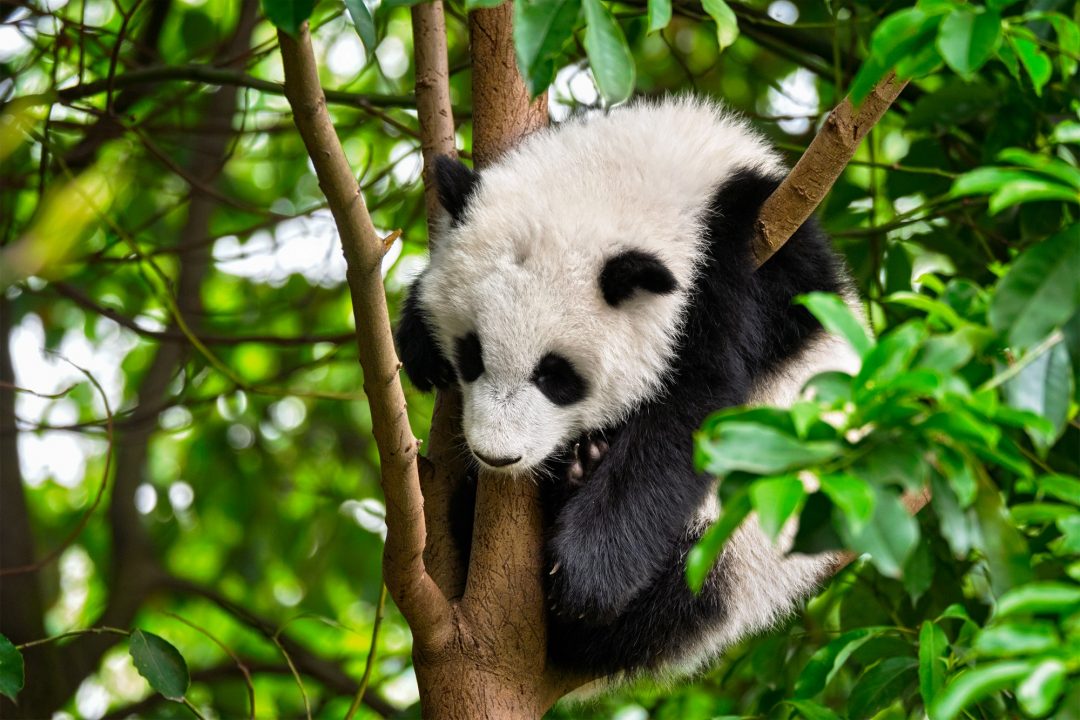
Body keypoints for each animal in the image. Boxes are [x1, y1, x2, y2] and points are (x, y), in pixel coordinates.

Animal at [397, 97, 859, 682]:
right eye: (471, 356)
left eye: (556, 376)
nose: (497, 456)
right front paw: (418, 339)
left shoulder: (744, 266)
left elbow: (695, 411)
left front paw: (586, 574)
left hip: (750, 536)